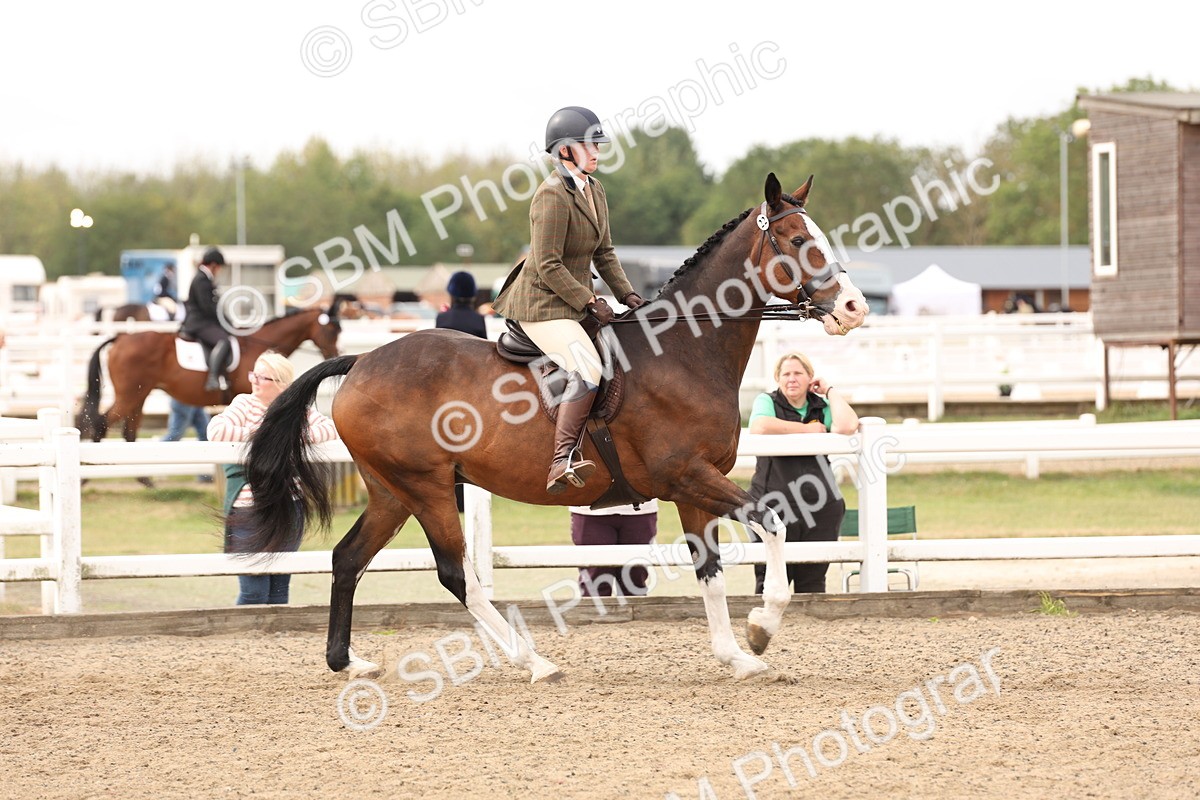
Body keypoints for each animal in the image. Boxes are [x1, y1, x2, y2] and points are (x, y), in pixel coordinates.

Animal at [77, 299, 346, 442]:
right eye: (332, 330)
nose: (334, 355)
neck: (256, 345)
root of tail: (120, 338)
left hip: (139, 395)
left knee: (129, 429)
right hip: (129, 395)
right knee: (102, 422)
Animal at [243, 173, 869, 683]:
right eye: (798, 241)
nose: (855, 309)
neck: (685, 351)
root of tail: (360, 361)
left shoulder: (696, 488)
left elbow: (709, 569)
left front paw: (736, 655)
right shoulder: (686, 476)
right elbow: (773, 524)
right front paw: (762, 628)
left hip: (390, 491)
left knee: (348, 558)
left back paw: (347, 661)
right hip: (426, 487)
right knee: (455, 572)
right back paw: (533, 661)